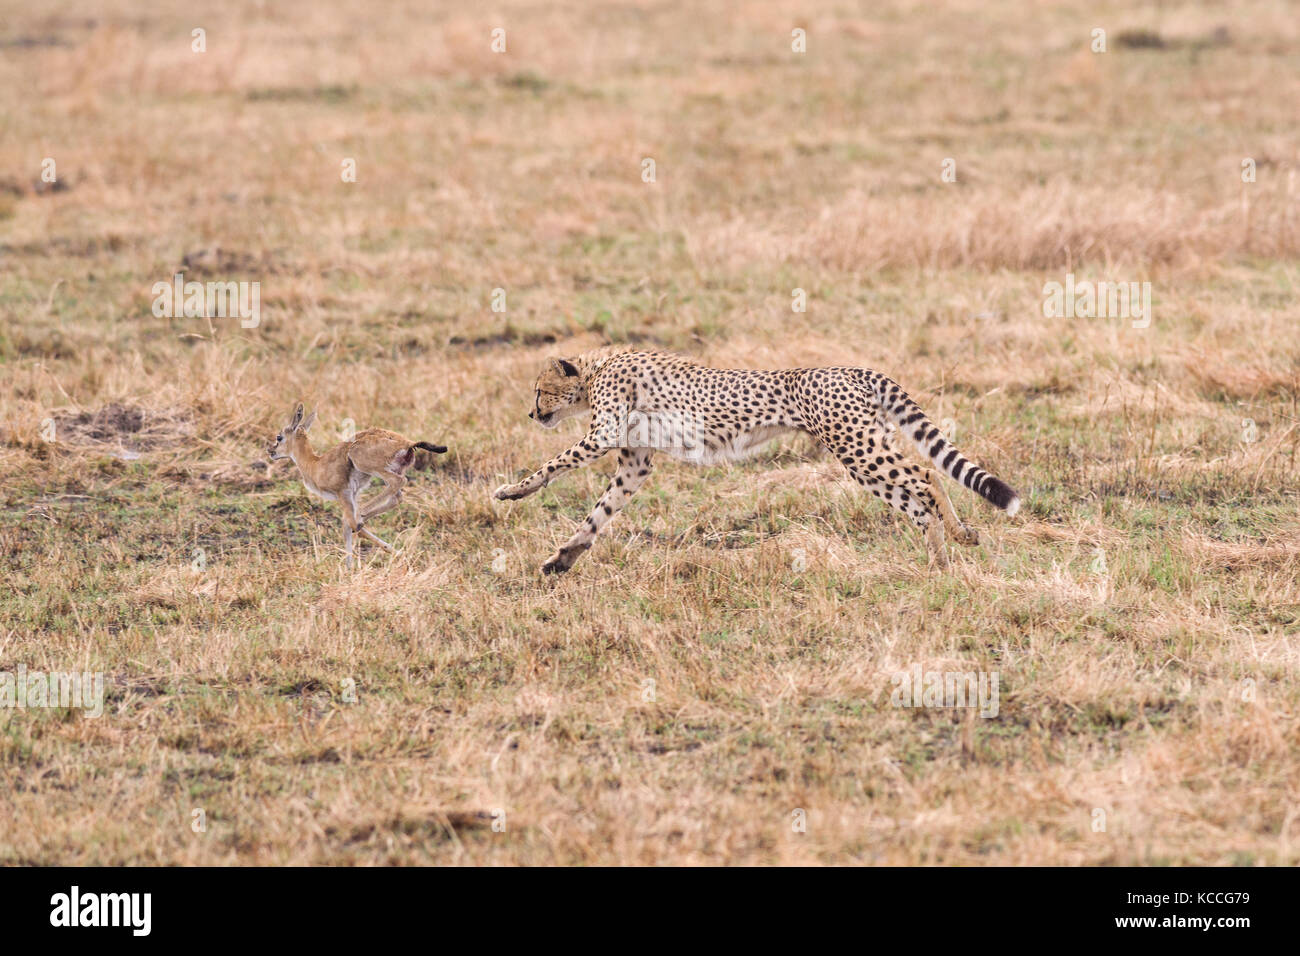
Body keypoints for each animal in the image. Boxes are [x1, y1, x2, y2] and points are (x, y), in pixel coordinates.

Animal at [491, 348, 1019, 574]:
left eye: (539, 390)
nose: (533, 413)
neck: (597, 367)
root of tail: (851, 367)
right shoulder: (634, 464)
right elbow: (598, 515)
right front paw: (563, 558)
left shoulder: (601, 435)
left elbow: (553, 464)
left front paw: (512, 490)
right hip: (862, 454)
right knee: (916, 500)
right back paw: (941, 561)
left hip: (857, 449)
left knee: (926, 474)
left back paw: (957, 537)